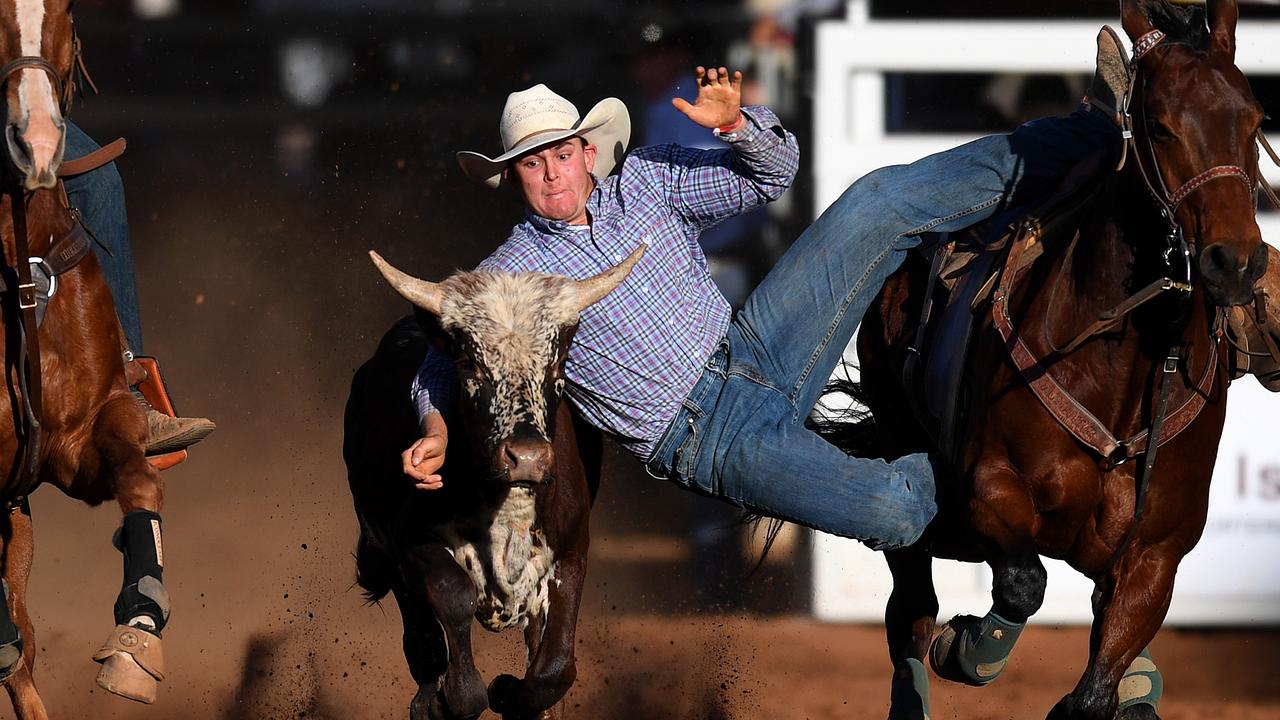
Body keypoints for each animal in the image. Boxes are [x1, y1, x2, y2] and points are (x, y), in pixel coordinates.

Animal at [849, 1, 1269, 717]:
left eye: (1255, 120)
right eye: (1160, 126)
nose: (1234, 262)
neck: (1118, 373)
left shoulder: (1155, 556)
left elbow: (1095, 687)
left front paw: (1121, 687)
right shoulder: (990, 487)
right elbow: (1022, 581)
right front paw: (969, 649)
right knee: (911, 608)